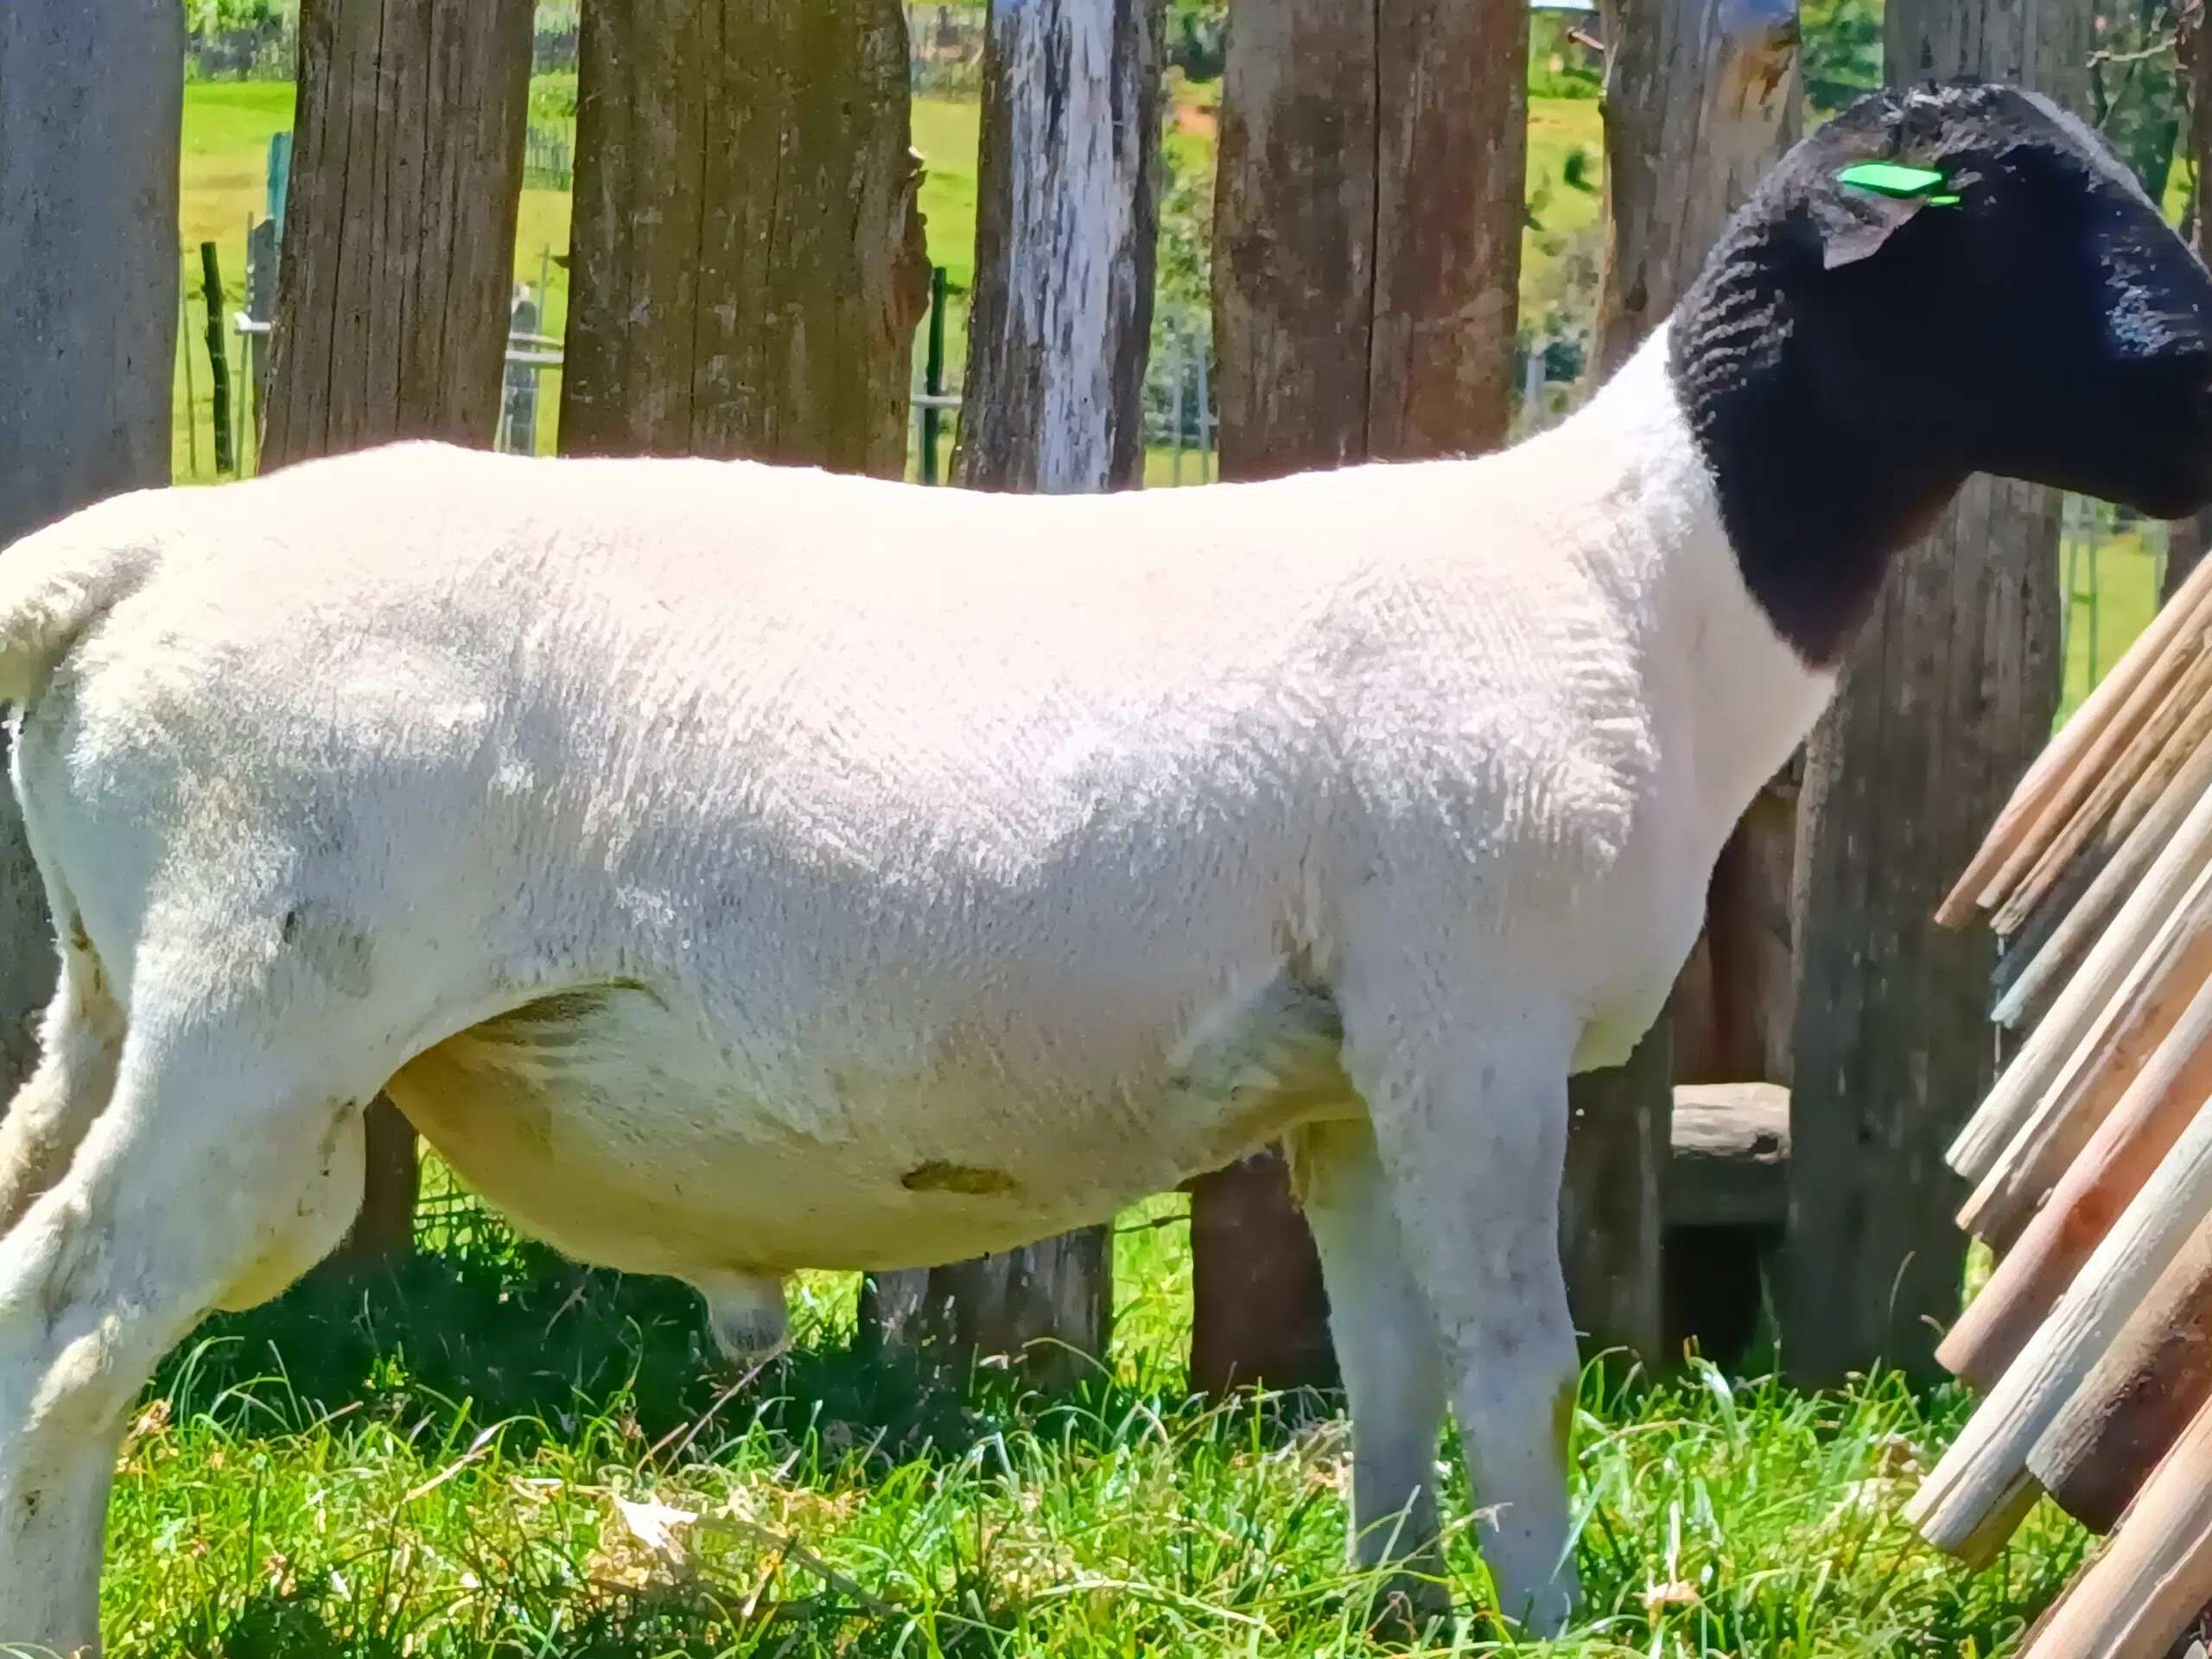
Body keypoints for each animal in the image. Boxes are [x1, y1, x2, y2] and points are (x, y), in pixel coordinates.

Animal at [0, 77, 2210, 1652]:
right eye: (2013, 213)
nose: (2203, 386)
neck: (1640, 587)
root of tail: (151, 553)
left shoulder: (1348, 1084)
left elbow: (1389, 1371)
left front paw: (1395, 1614)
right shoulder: (1469, 1026)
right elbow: (1519, 1366)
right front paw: (1545, 1623)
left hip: (124, 999)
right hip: (261, 1008)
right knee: (67, 1338)